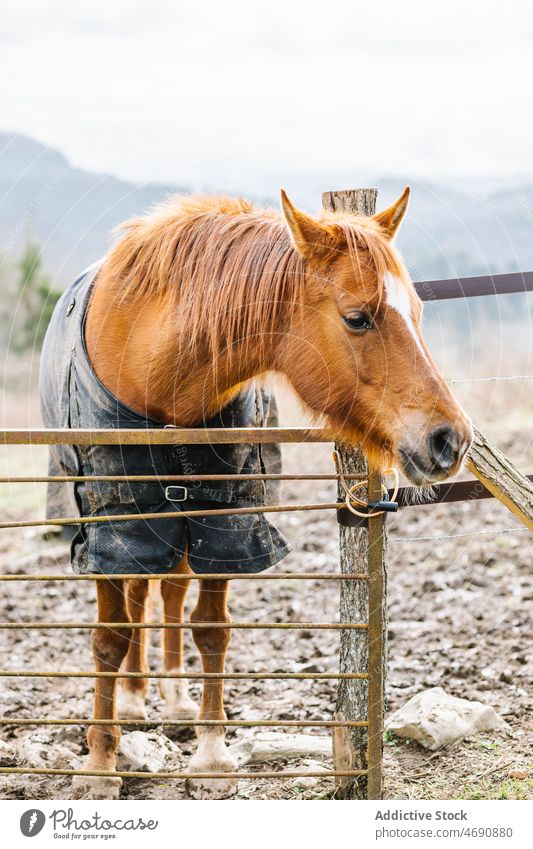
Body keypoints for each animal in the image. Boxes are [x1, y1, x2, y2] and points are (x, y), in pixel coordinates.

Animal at [67, 186, 470, 796]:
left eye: (419, 312)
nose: (451, 440)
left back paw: (170, 701)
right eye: (358, 318)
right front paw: (98, 765)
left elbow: (211, 630)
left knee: (167, 591)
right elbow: (110, 636)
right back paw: (135, 702)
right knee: (139, 593)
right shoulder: (109, 519)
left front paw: (211, 757)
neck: (154, 368)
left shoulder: (227, 516)